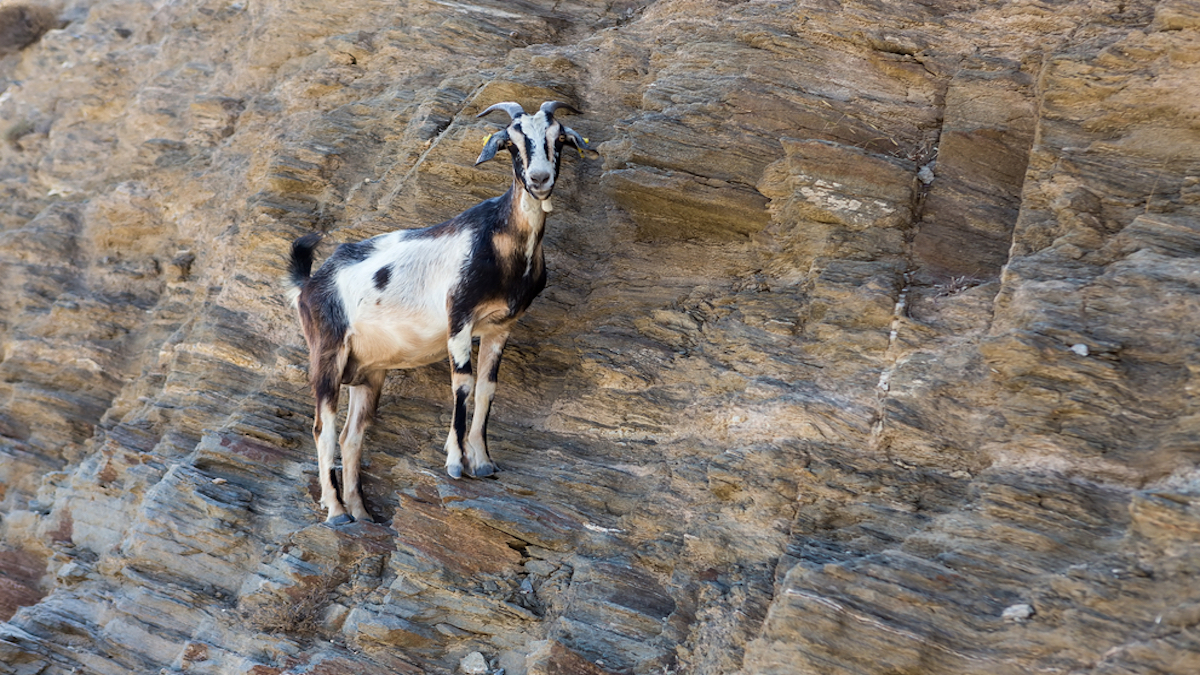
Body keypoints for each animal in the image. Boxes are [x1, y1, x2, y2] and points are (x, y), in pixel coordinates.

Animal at [290, 99, 590, 523]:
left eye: (558, 139)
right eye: (512, 143)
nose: (540, 178)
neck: (500, 240)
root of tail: (308, 285)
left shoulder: (500, 327)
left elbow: (486, 387)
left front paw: (483, 461)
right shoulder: (458, 319)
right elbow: (462, 384)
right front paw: (455, 462)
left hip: (369, 373)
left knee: (352, 436)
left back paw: (361, 513)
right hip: (327, 353)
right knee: (323, 427)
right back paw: (336, 512)